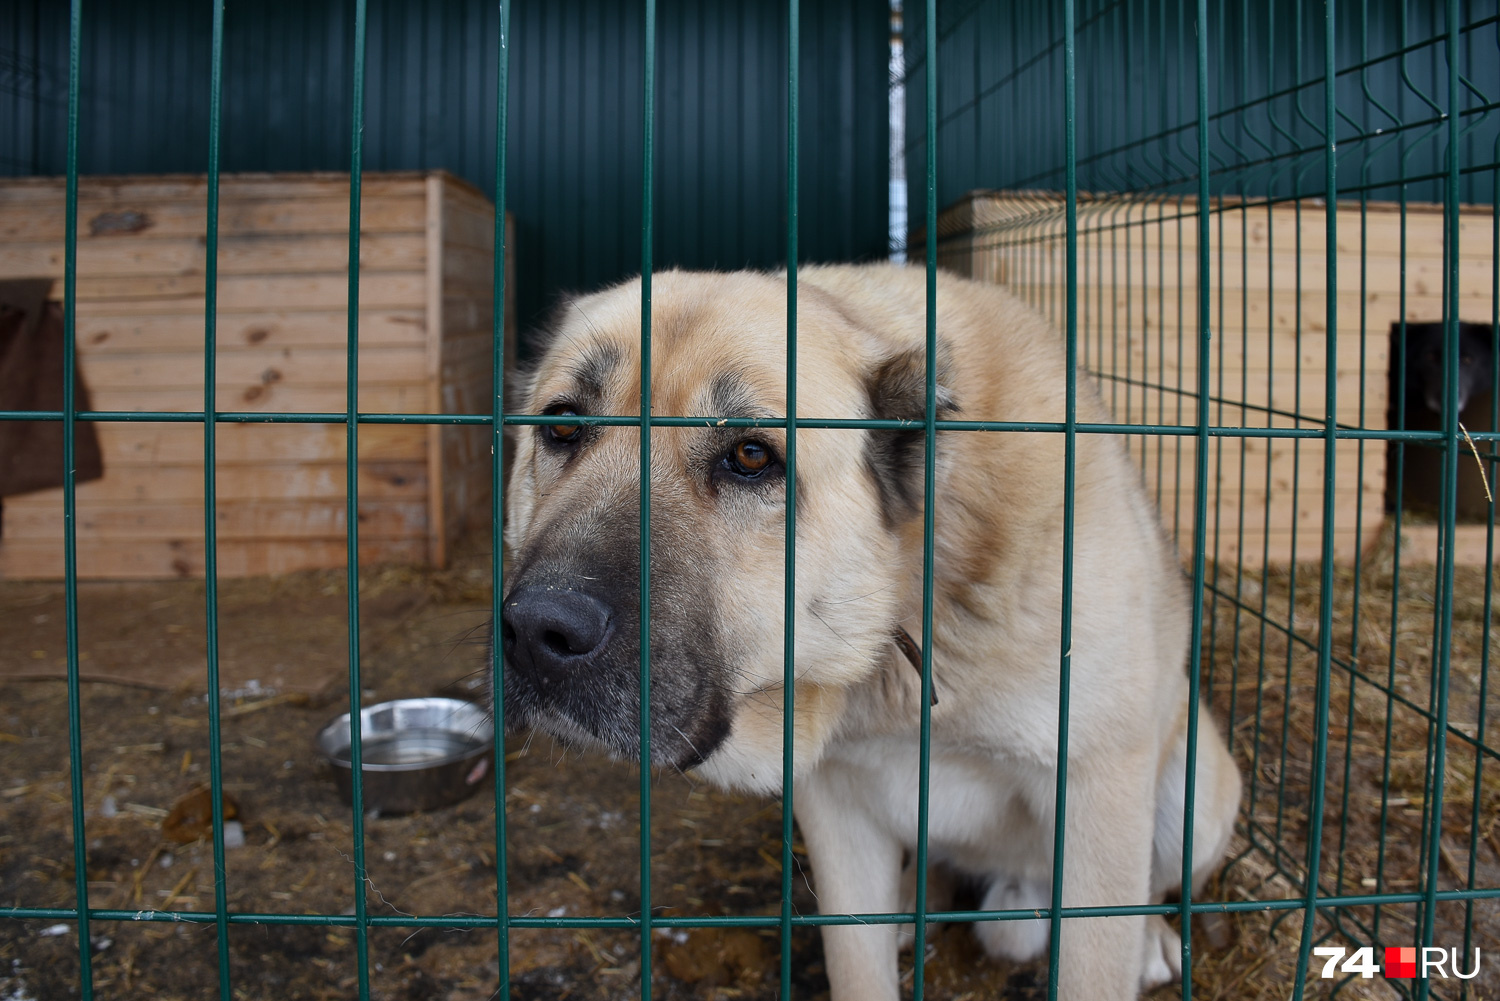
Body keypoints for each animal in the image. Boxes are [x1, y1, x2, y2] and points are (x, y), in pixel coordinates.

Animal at [498, 262, 1236, 996]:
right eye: (562, 427)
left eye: (750, 455)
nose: (536, 630)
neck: (908, 612)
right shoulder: (837, 812)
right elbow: (858, 961)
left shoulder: (1098, 794)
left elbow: (1099, 959)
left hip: (1194, 793)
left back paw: (1152, 937)